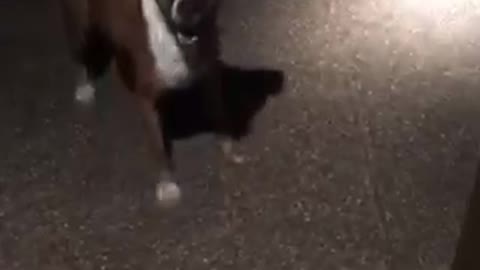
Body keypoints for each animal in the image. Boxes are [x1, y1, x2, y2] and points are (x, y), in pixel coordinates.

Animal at [60, 0, 240, 206]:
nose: (189, 11)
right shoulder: (147, 100)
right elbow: (158, 147)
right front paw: (167, 184)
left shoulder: (212, 79)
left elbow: (220, 116)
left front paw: (227, 148)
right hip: (79, 26)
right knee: (81, 55)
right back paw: (84, 87)